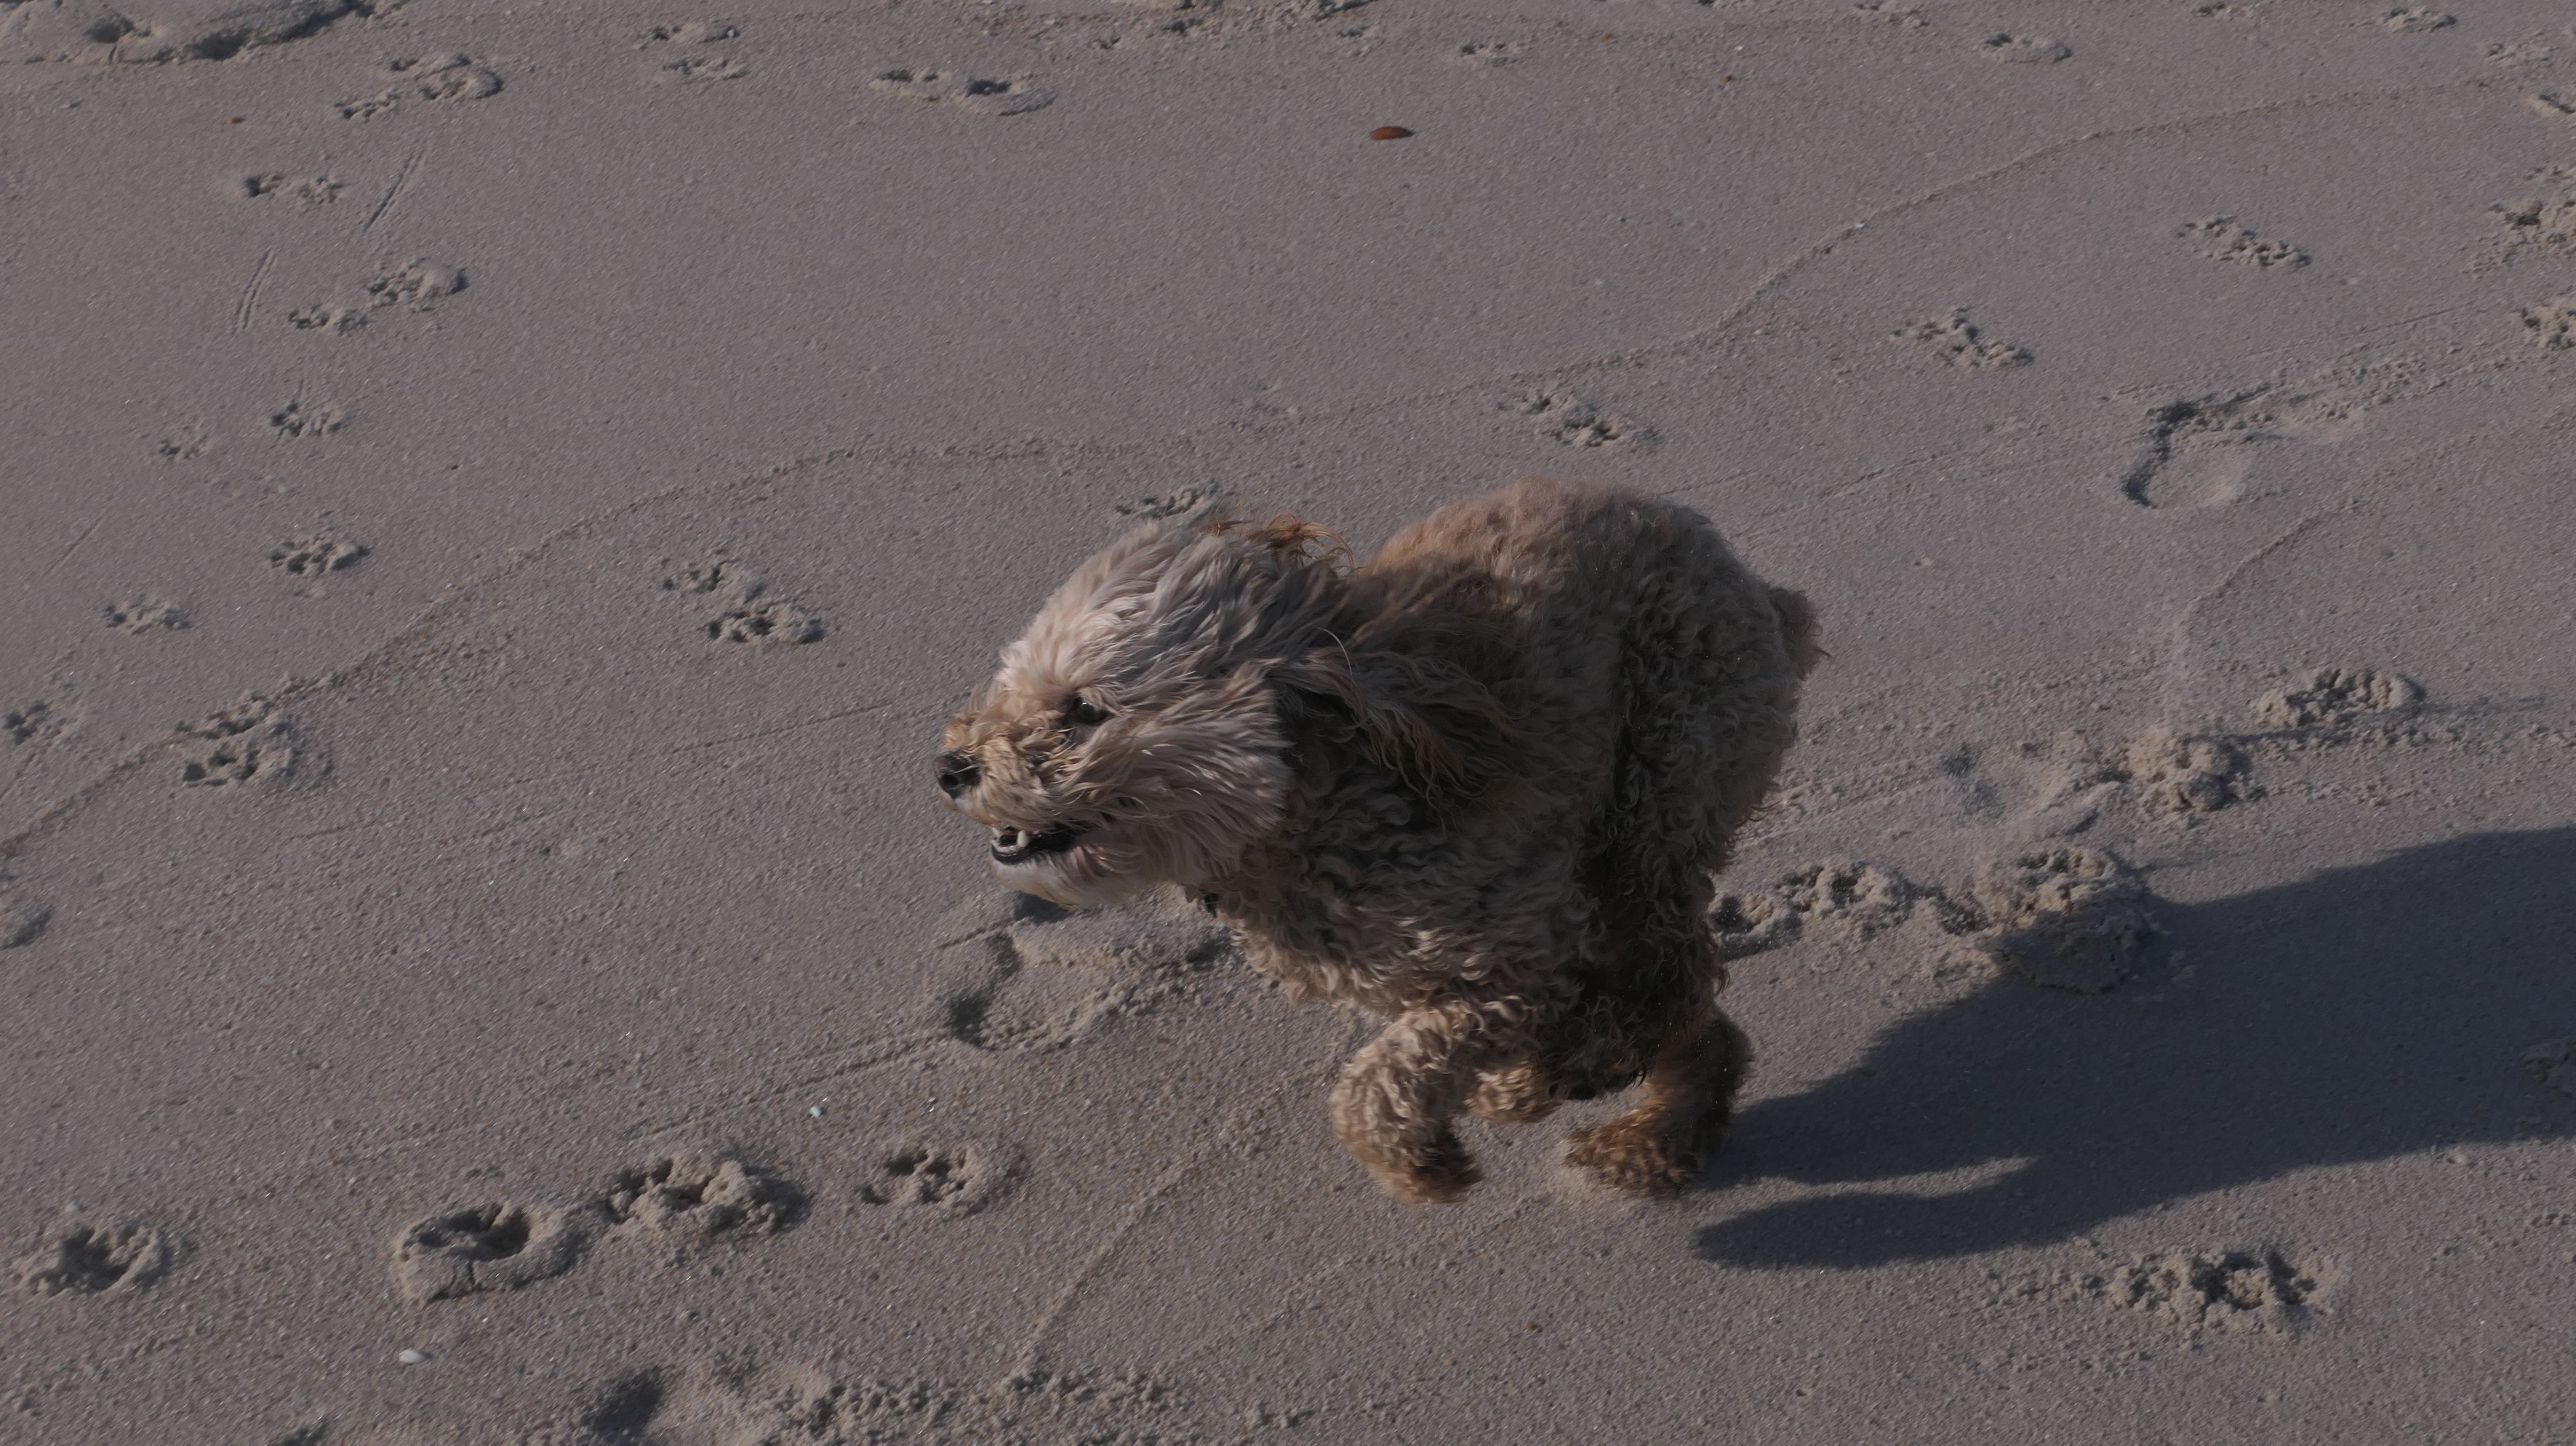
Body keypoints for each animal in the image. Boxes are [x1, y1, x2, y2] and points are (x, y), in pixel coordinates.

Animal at [937, 476, 1818, 1202]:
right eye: (1010, 688)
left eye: (1084, 709)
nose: (951, 766)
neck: (1310, 800)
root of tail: (1750, 580)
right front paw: (1514, 1090)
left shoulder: (1522, 944)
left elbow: (1382, 1079)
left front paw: (1428, 1159)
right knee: (1688, 1004)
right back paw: (1656, 1133)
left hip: (1664, 775)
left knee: (1673, 972)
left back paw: (1618, 1098)